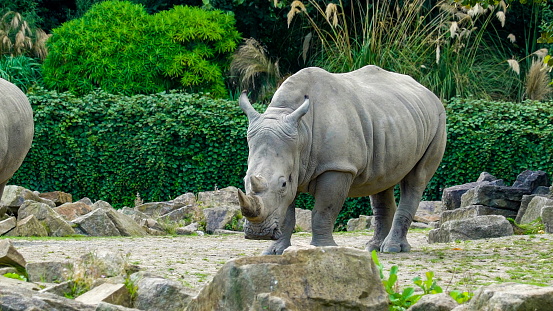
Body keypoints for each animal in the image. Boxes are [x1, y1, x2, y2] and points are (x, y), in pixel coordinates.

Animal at [236, 64, 444, 255]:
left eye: (283, 184)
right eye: (245, 180)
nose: (257, 233)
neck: (301, 131)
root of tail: (428, 91)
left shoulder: (337, 167)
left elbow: (323, 210)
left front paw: (322, 248)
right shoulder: (293, 163)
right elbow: (287, 214)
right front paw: (275, 252)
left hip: (438, 120)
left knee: (416, 179)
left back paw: (392, 249)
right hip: (392, 120)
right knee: (381, 182)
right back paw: (374, 248)